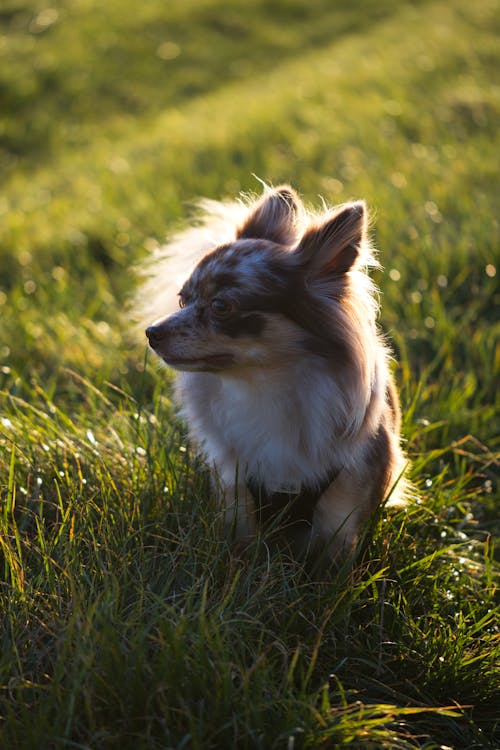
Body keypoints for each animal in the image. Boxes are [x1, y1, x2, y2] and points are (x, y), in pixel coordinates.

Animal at [145, 185, 406, 560]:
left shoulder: (345, 503)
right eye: (182, 300)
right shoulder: (234, 489)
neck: (264, 388)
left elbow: (333, 560)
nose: (152, 333)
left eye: (221, 306)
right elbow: (240, 547)